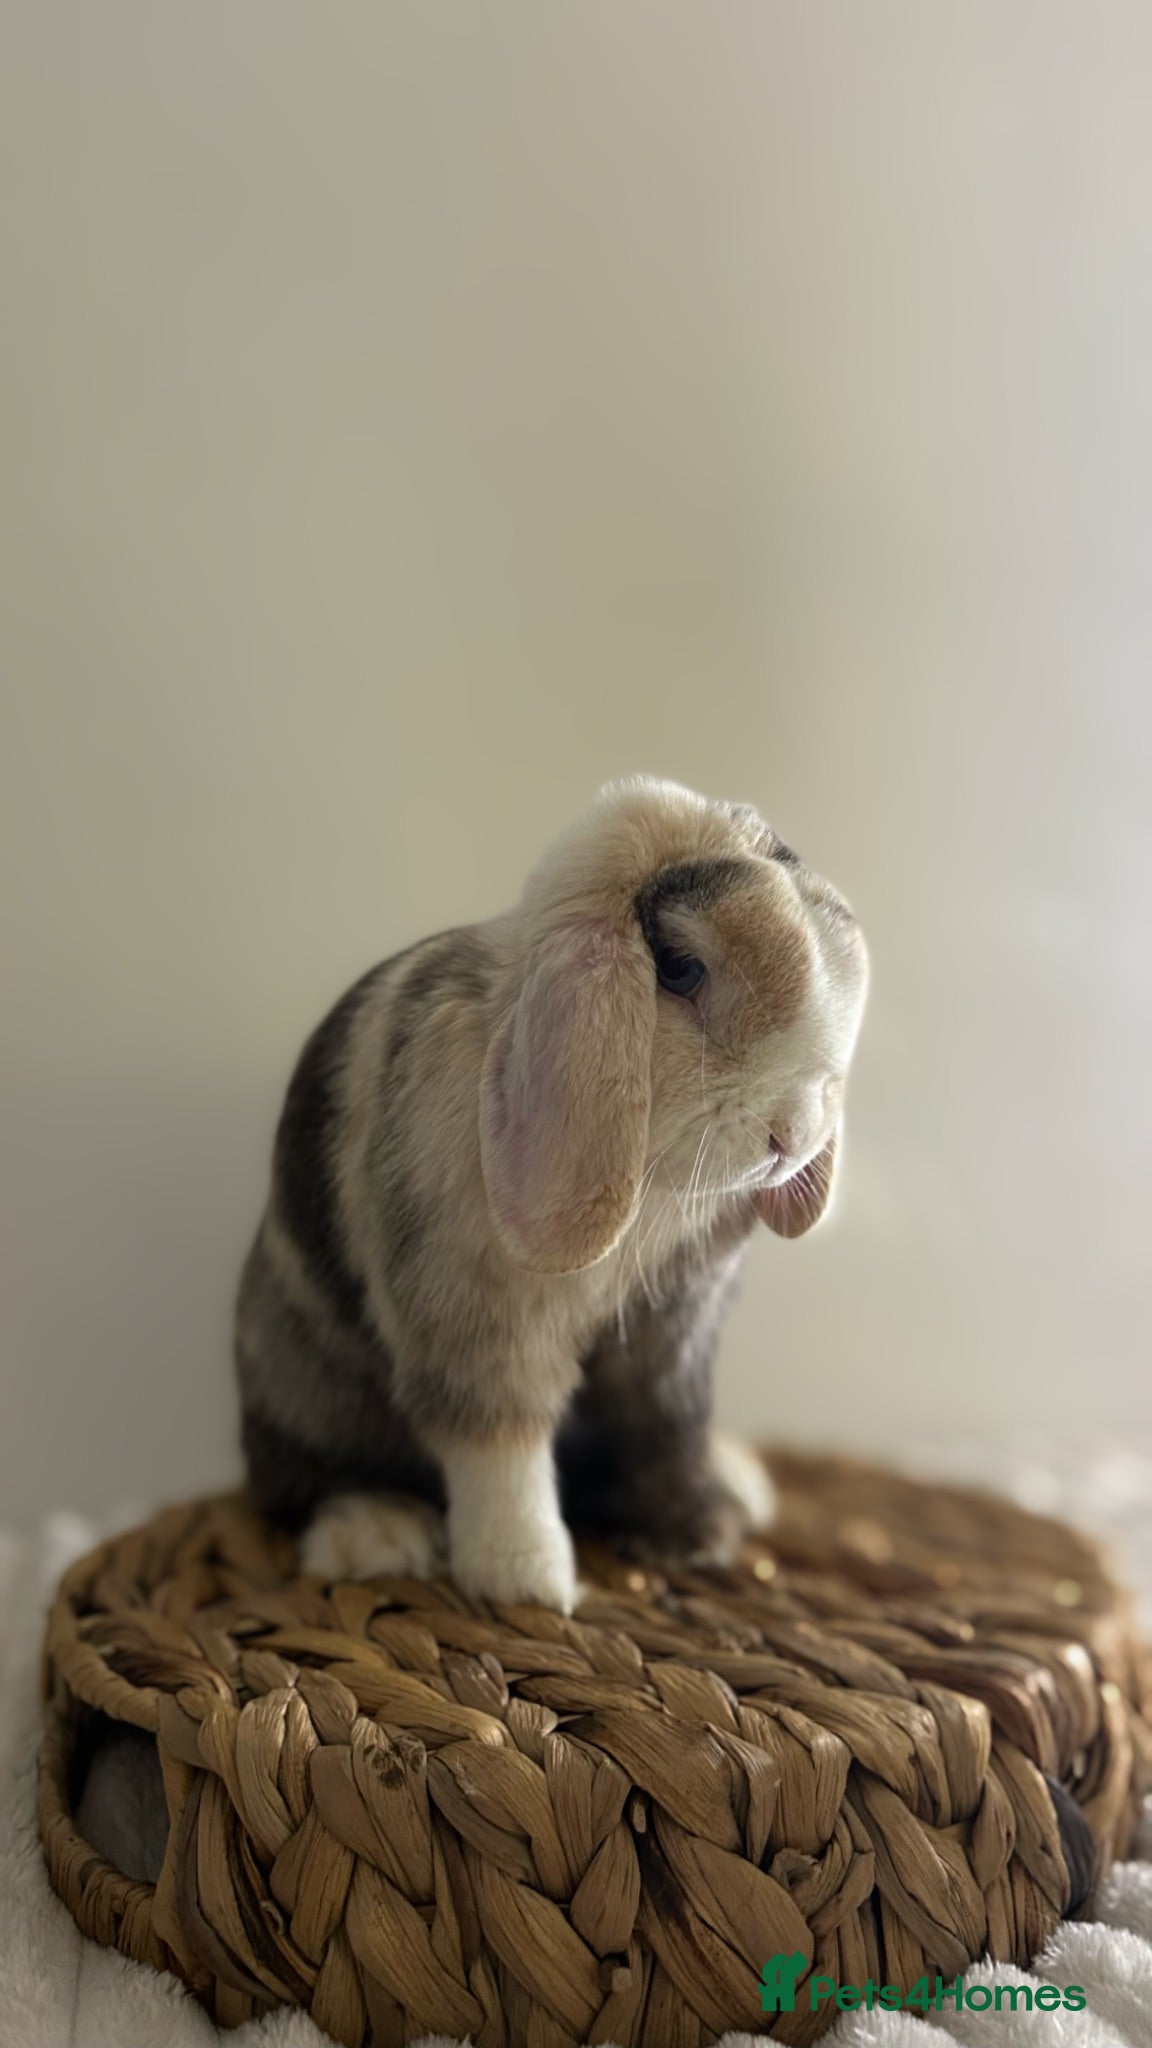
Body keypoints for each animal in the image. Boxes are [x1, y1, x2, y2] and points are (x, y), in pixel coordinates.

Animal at [236, 776, 869, 1613]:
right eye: (680, 967)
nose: (791, 1134)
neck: (654, 1186)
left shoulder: (676, 1330)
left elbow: (668, 1429)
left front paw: (700, 1530)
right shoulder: (480, 1319)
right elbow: (499, 1445)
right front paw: (528, 1580)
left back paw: (741, 1479)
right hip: (309, 1390)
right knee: (305, 1481)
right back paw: (376, 1536)